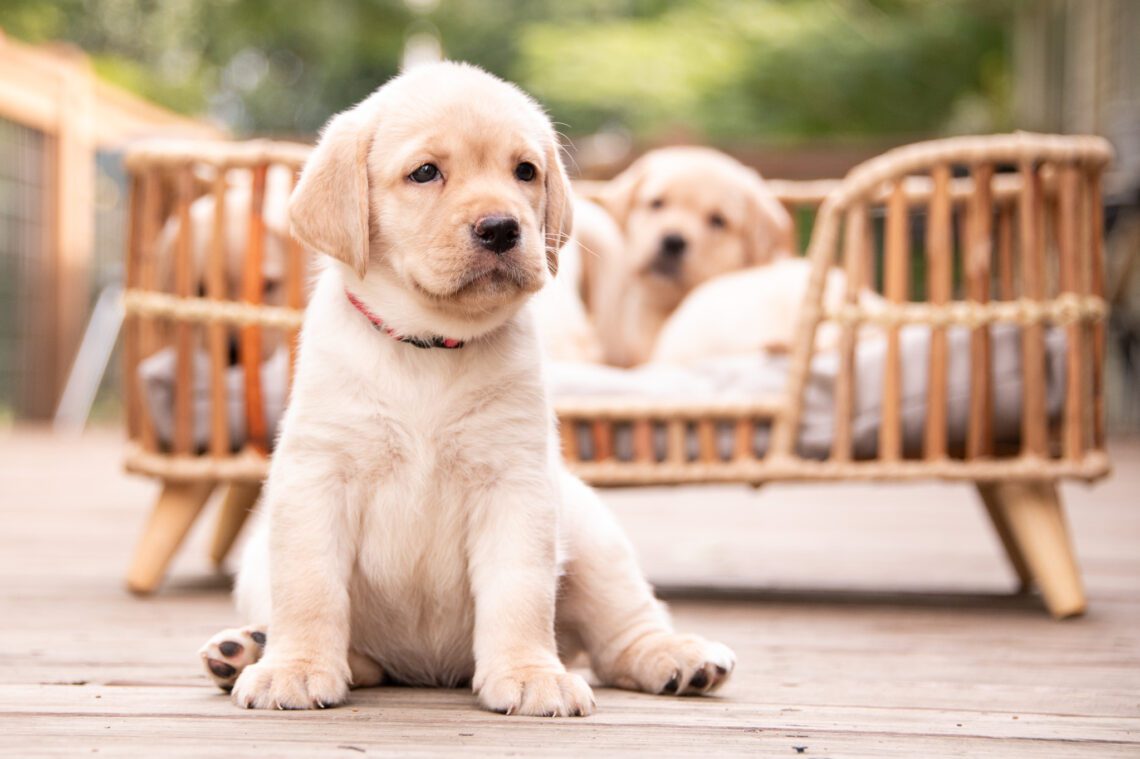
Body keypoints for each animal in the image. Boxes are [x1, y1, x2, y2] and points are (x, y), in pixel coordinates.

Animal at [199, 60, 734, 715]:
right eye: (426, 172)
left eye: (525, 171)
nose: (502, 227)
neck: (429, 346)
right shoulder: (317, 477)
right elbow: (310, 587)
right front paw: (293, 668)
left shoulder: (516, 485)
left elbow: (520, 594)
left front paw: (531, 673)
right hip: (256, 565)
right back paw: (246, 649)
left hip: (591, 534)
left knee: (623, 633)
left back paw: (680, 658)